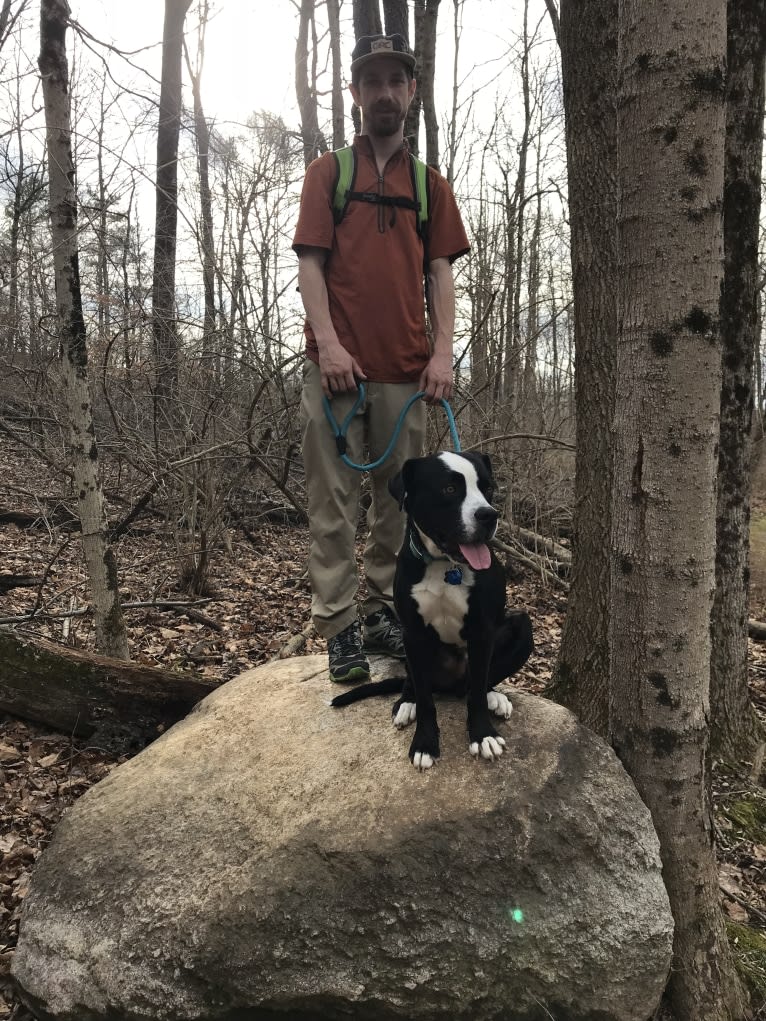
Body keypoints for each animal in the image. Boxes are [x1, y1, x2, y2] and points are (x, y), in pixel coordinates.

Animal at [332, 451, 535, 767]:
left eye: (488, 488)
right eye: (449, 489)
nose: (489, 515)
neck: (445, 566)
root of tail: (452, 685)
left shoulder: (482, 633)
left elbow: (478, 692)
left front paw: (482, 734)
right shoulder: (413, 634)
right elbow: (427, 701)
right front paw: (425, 742)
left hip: (522, 627)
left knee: (478, 684)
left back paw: (494, 697)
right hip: (411, 649)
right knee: (415, 683)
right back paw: (406, 702)